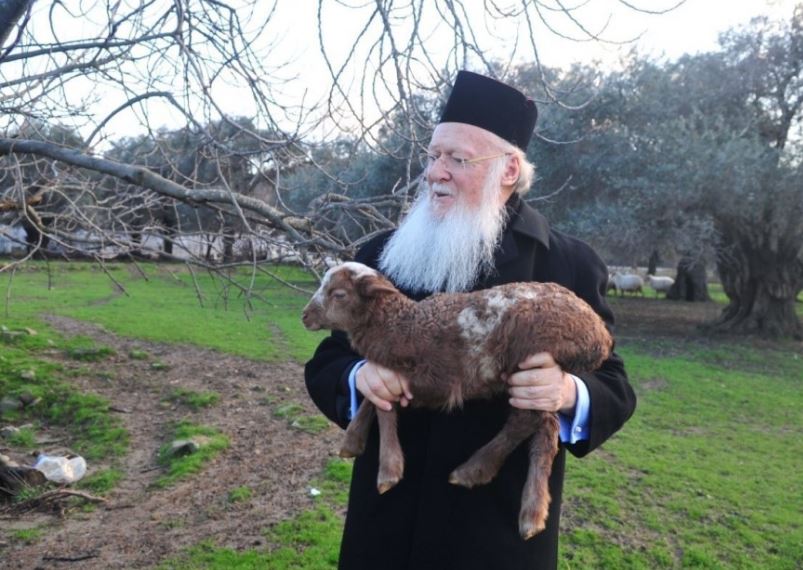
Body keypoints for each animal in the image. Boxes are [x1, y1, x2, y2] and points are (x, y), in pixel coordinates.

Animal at [304, 262, 616, 536]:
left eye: (339, 294)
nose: (305, 316)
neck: (398, 324)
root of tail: (600, 336)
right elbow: (372, 400)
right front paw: (352, 442)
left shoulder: (426, 379)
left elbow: (386, 410)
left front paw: (388, 472)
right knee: (545, 432)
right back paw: (529, 510)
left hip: (531, 359)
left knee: (525, 423)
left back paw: (475, 473)